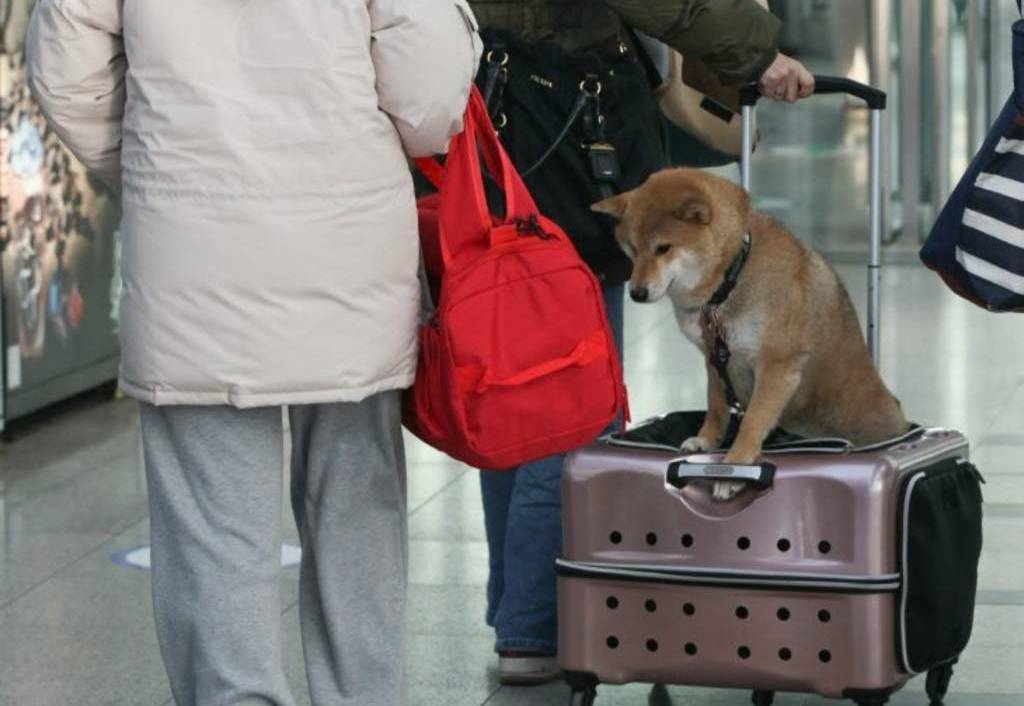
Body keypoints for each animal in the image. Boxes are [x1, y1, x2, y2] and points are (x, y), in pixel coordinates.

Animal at [598, 169, 909, 502]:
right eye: (632, 249)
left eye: (663, 248)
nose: (636, 293)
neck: (727, 283)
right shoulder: (715, 359)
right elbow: (717, 405)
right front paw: (707, 439)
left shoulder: (777, 368)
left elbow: (752, 422)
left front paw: (736, 466)